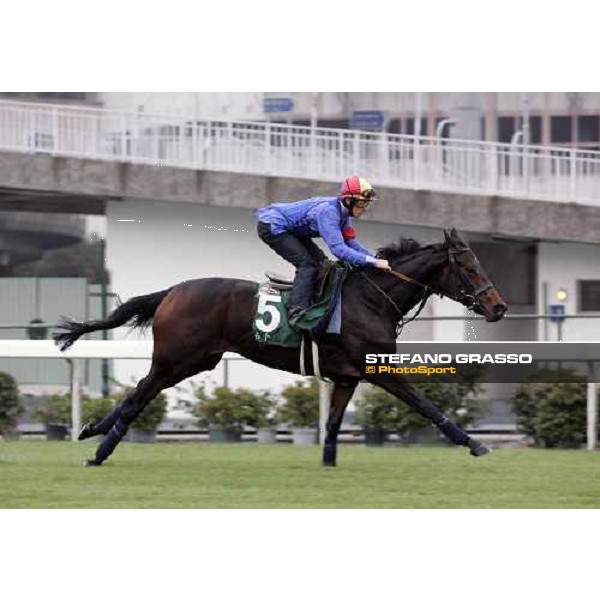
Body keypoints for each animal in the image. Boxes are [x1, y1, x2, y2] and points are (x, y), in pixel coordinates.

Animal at [54, 227, 508, 466]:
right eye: (469, 267)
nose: (499, 306)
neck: (371, 298)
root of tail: (172, 291)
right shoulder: (378, 371)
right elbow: (427, 405)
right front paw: (475, 443)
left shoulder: (347, 377)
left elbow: (333, 424)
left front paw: (328, 462)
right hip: (176, 358)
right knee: (139, 398)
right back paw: (100, 451)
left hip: (196, 361)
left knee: (139, 391)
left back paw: (92, 430)